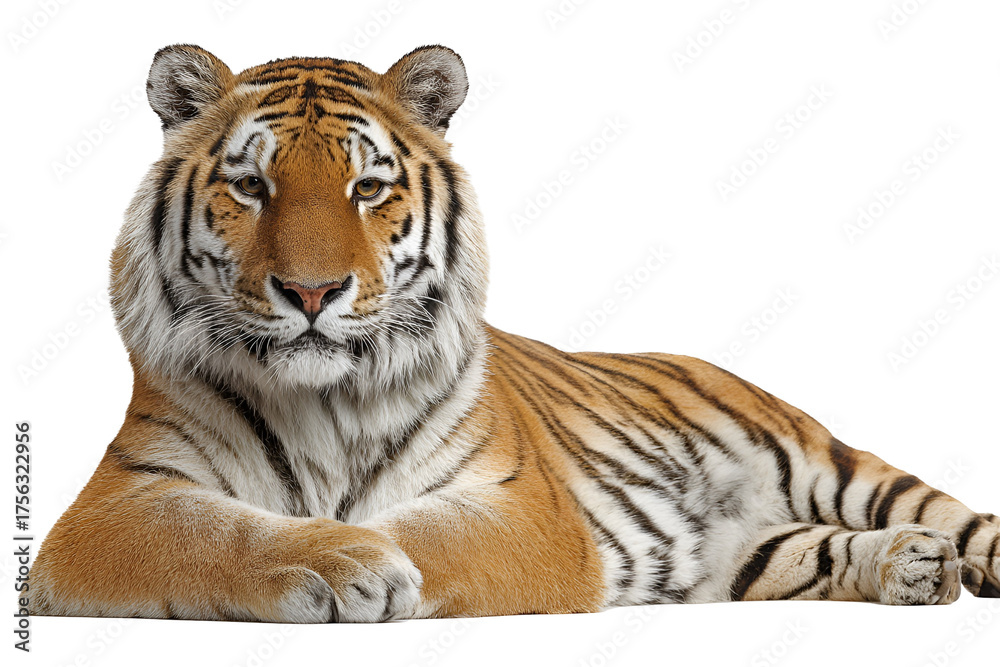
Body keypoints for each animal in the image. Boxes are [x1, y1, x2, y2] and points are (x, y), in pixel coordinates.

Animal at [29, 44, 999, 623]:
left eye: (367, 188)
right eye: (252, 187)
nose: (311, 291)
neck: (322, 399)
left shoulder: (523, 508)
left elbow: (425, 532)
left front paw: (373, 561)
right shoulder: (109, 506)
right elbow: (215, 531)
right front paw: (341, 561)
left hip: (824, 458)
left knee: (942, 511)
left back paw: (945, 558)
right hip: (734, 554)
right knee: (811, 550)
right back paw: (914, 570)